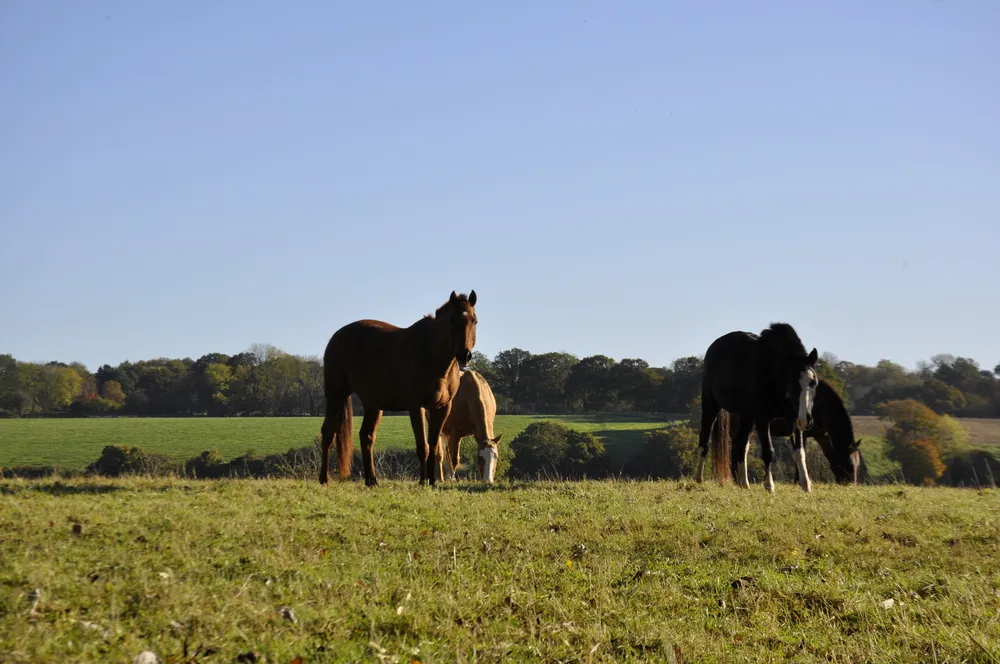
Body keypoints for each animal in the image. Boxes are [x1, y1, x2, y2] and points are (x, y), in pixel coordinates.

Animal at [319, 290, 478, 487]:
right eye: (452, 321)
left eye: (474, 320)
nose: (465, 355)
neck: (432, 355)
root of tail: (336, 337)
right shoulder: (416, 407)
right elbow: (423, 446)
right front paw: (422, 481)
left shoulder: (442, 408)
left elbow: (433, 445)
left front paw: (432, 481)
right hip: (336, 394)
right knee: (328, 432)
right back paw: (324, 478)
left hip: (373, 404)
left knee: (366, 436)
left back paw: (371, 480)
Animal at [697, 322, 819, 493]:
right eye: (794, 384)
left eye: (813, 383)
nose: (807, 420)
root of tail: (713, 348)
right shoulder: (763, 420)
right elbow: (768, 452)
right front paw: (769, 485)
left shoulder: (793, 418)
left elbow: (799, 451)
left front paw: (806, 484)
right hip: (711, 406)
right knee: (704, 439)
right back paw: (698, 478)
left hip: (746, 417)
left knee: (740, 444)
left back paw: (744, 483)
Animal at [713, 378, 863, 485]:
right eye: (848, 464)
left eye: (857, 464)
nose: (851, 484)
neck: (820, 403)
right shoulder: (802, 433)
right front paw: (798, 481)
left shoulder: (821, 434)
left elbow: (828, 455)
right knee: (738, 448)